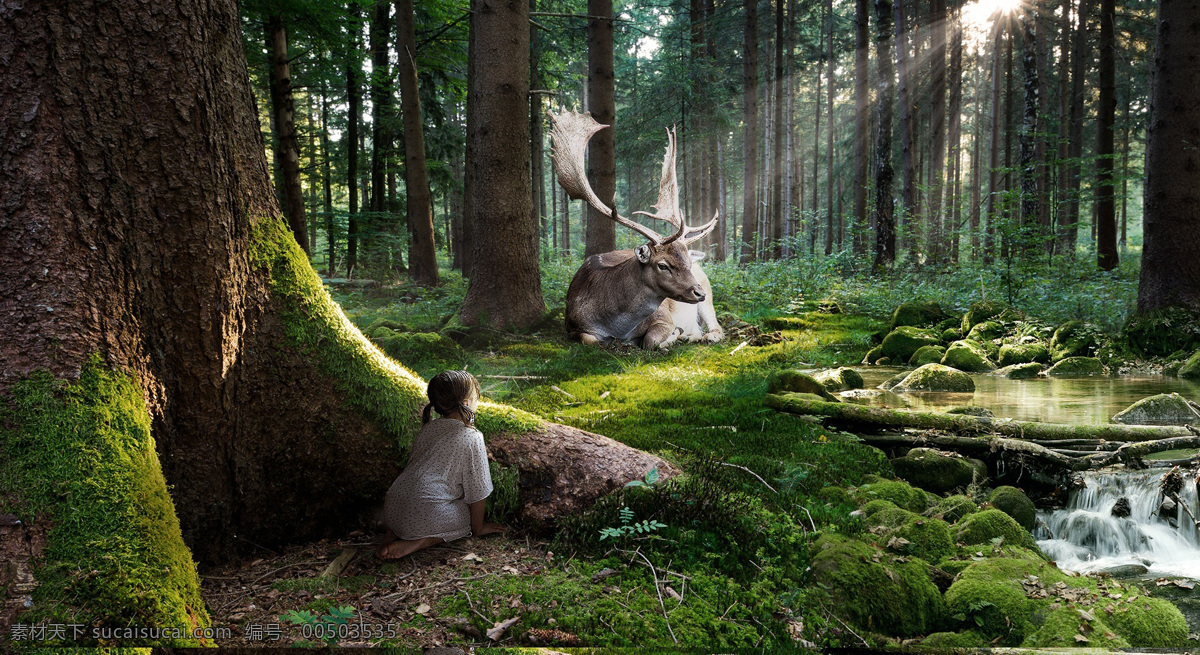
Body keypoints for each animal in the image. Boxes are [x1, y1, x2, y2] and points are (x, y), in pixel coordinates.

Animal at [549, 109, 724, 350]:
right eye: (663, 265)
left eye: (687, 262)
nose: (698, 292)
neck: (616, 326)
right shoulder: (572, 325)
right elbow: (590, 340)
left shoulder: (663, 317)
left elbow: (650, 340)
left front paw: (671, 336)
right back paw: (690, 335)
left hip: (708, 291)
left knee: (717, 327)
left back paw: (702, 335)